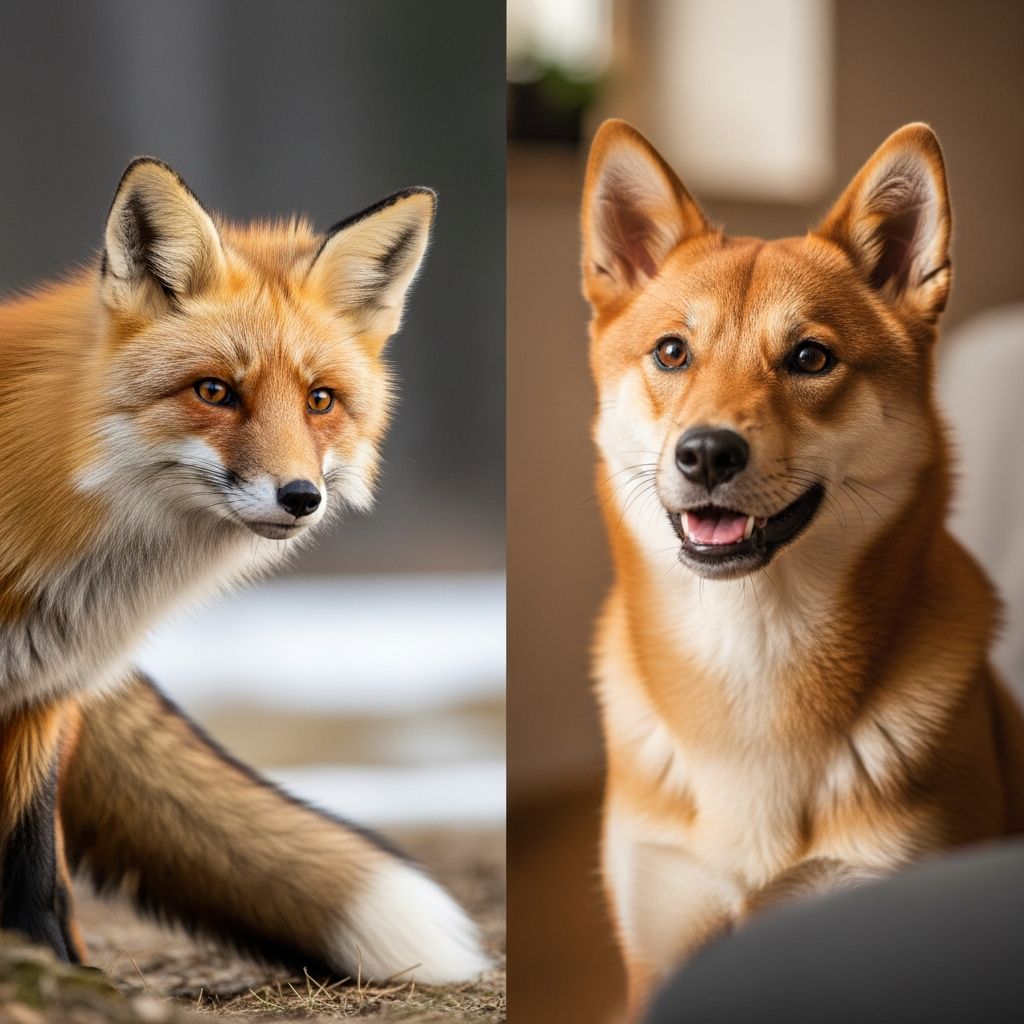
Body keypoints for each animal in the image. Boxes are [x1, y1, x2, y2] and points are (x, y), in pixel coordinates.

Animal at [0, 158, 489, 984]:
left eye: (320, 400)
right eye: (215, 391)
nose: (301, 497)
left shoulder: (42, 697)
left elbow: (32, 871)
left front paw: (54, 970)